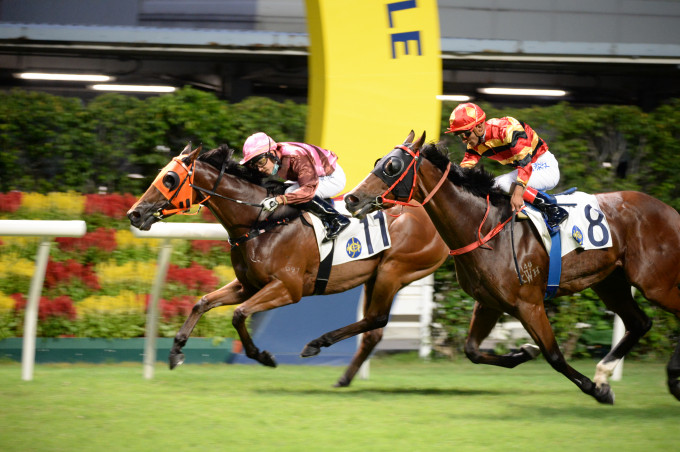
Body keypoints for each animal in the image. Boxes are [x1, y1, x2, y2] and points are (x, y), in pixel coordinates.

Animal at [126, 143, 452, 386]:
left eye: (169, 179)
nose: (134, 214)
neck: (261, 221)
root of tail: (431, 215)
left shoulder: (288, 288)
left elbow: (239, 315)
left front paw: (263, 356)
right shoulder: (248, 285)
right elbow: (202, 302)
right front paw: (176, 350)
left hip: (393, 271)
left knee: (376, 319)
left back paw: (317, 344)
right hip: (376, 276)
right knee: (373, 329)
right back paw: (343, 377)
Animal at [346, 130, 680, 402]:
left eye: (392, 166)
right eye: (378, 161)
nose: (352, 199)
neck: (483, 228)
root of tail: (669, 209)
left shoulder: (529, 303)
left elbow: (554, 355)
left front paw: (596, 390)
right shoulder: (489, 303)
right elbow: (472, 351)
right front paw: (523, 353)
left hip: (655, 282)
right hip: (611, 282)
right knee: (640, 323)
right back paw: (614, 373)